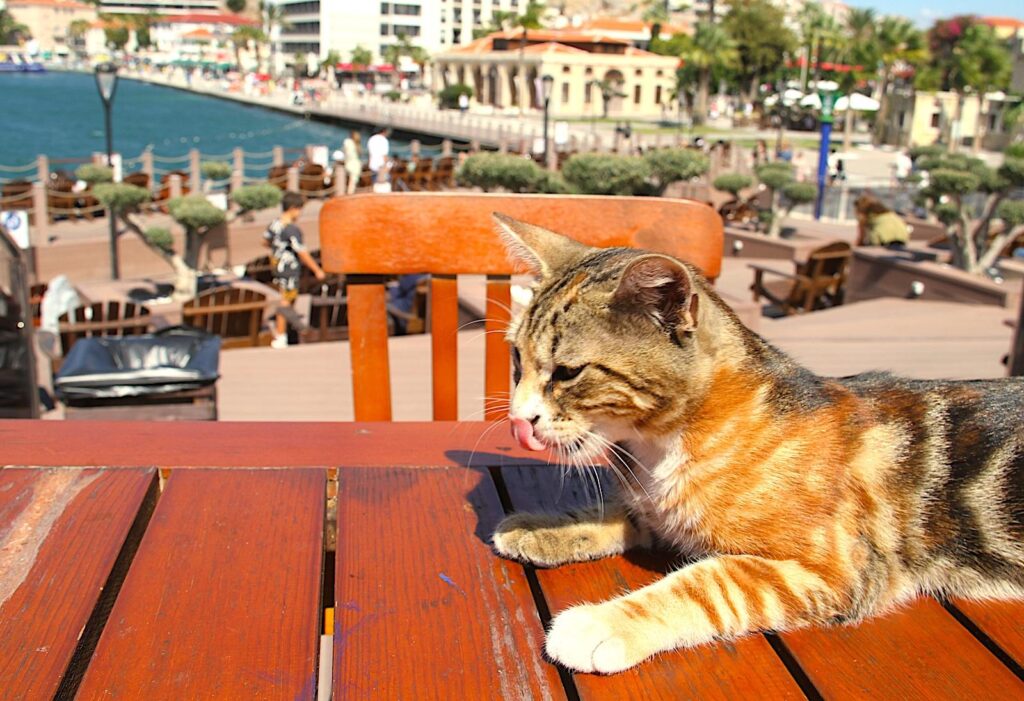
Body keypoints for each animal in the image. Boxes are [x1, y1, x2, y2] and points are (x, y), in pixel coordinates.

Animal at [489, 211, 1024, 671]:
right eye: (517, 358)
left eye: (567, 372)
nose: (519, 418)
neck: (662, 448)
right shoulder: (660, 509)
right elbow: (622, 513)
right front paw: (544, 526)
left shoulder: (832, 567)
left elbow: (708, 581)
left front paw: (603, 623)